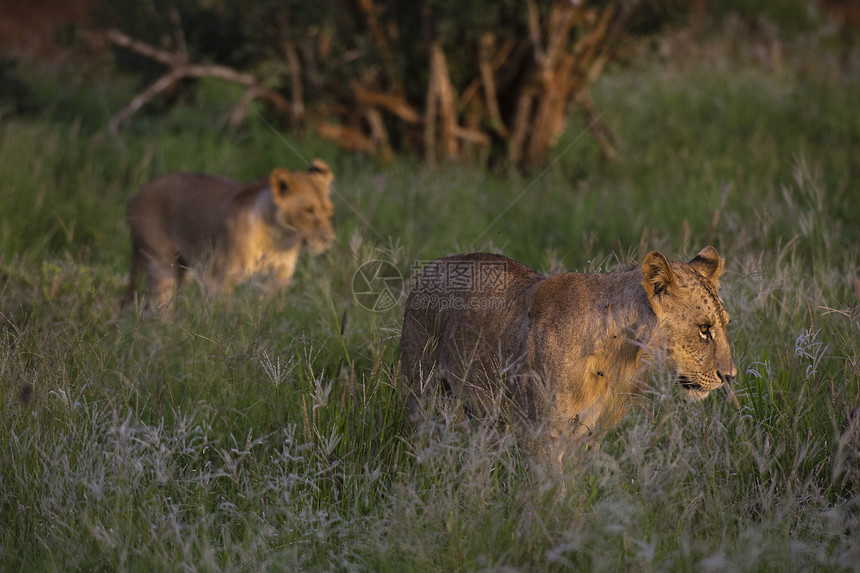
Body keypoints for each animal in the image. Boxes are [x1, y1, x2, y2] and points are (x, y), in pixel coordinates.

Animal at [122, 159, 336, 308]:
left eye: (329, 210)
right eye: (308, 210)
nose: (328, 238)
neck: (280, 238)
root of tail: (136, 195)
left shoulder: (279, 277)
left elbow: (272, 312)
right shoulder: (218, 278)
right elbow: (226, 312)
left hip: (182, 267)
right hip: (162, 264)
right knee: (160, 308)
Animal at [400, 246, 736, 446]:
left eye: (725, 324)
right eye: (704, 329)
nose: (730, 376)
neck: (623, 355)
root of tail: (433, 264)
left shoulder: (589, 434)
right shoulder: (543, 432)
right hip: (422, 390)